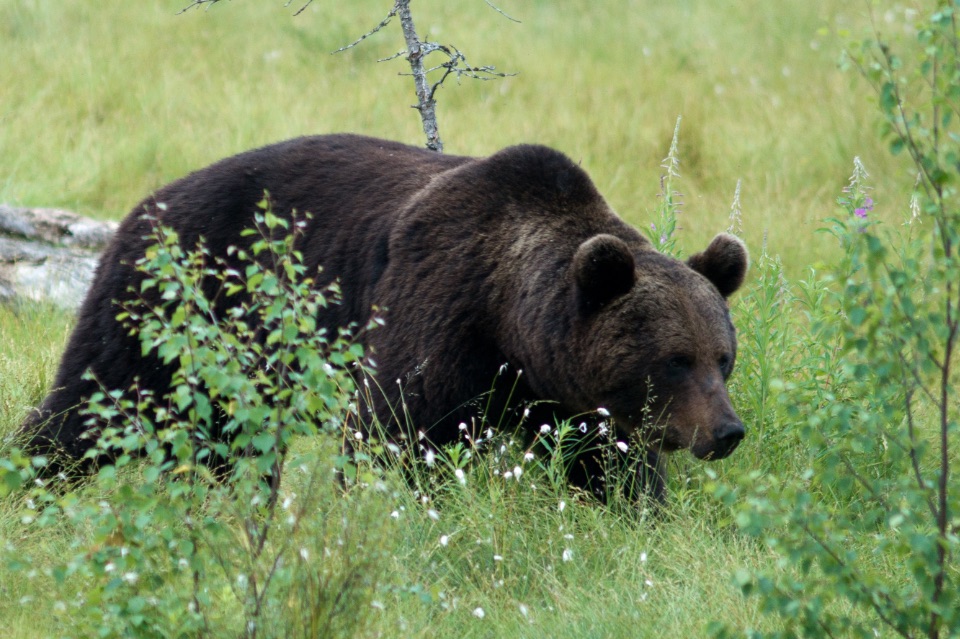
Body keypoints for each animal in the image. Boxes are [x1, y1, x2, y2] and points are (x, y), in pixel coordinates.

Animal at [18, 135, 748, 502]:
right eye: (674, 358)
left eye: (723, 356)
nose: (727, 431)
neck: (510, 322)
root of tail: (144, 204)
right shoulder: (437, 310)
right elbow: (396, 435)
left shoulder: (573, 399)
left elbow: (611, 469)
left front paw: (638, 514)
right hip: (175, 306)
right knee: (91, 403)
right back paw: (31, 485)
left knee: (229, 444)